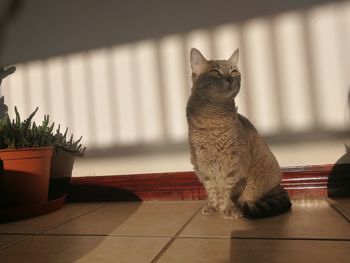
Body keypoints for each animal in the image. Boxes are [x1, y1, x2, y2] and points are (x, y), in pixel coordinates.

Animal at [187, 48, 292, 220]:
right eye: (215, 72)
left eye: (234, 71)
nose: (230, 79)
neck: (213, 117)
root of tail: (280, 186)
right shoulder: (201, 165)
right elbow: (212, 189)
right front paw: (213, 206)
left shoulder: (234, 164)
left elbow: (226, 190)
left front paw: (227, 209)